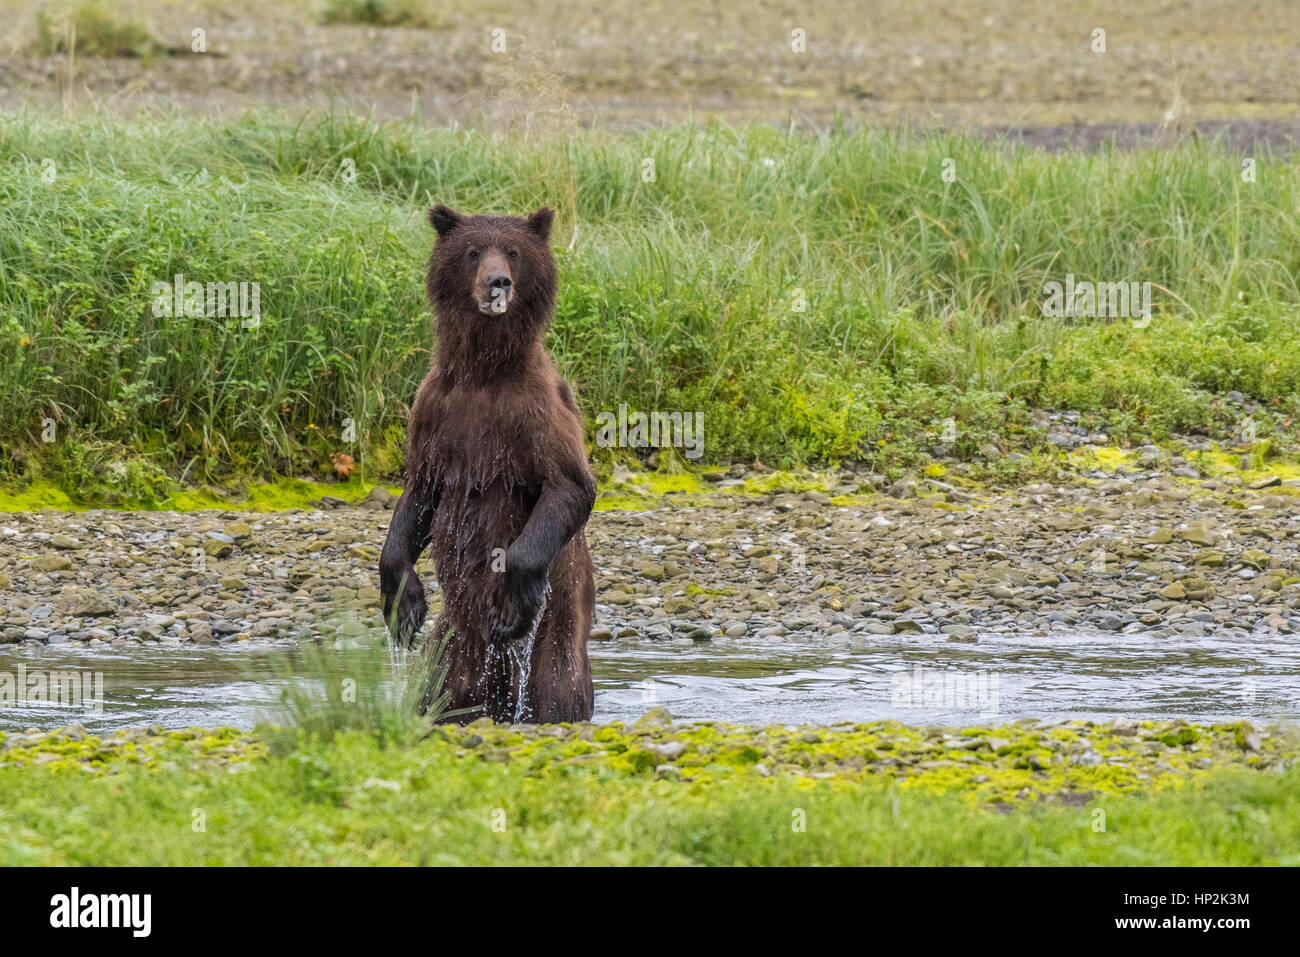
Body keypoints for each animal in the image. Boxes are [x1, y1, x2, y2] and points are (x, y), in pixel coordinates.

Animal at [377, 204, 598, 722]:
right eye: (473, 251)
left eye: (513, 252)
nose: (498, 282)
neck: (483, 368)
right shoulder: (435, 411)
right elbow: (420, 493)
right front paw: (405, 603)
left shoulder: (536, 409)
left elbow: (568, 484)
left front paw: (510, 602)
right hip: (455, 643)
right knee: (440, 684)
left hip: (561, 618)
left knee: (557, 684)